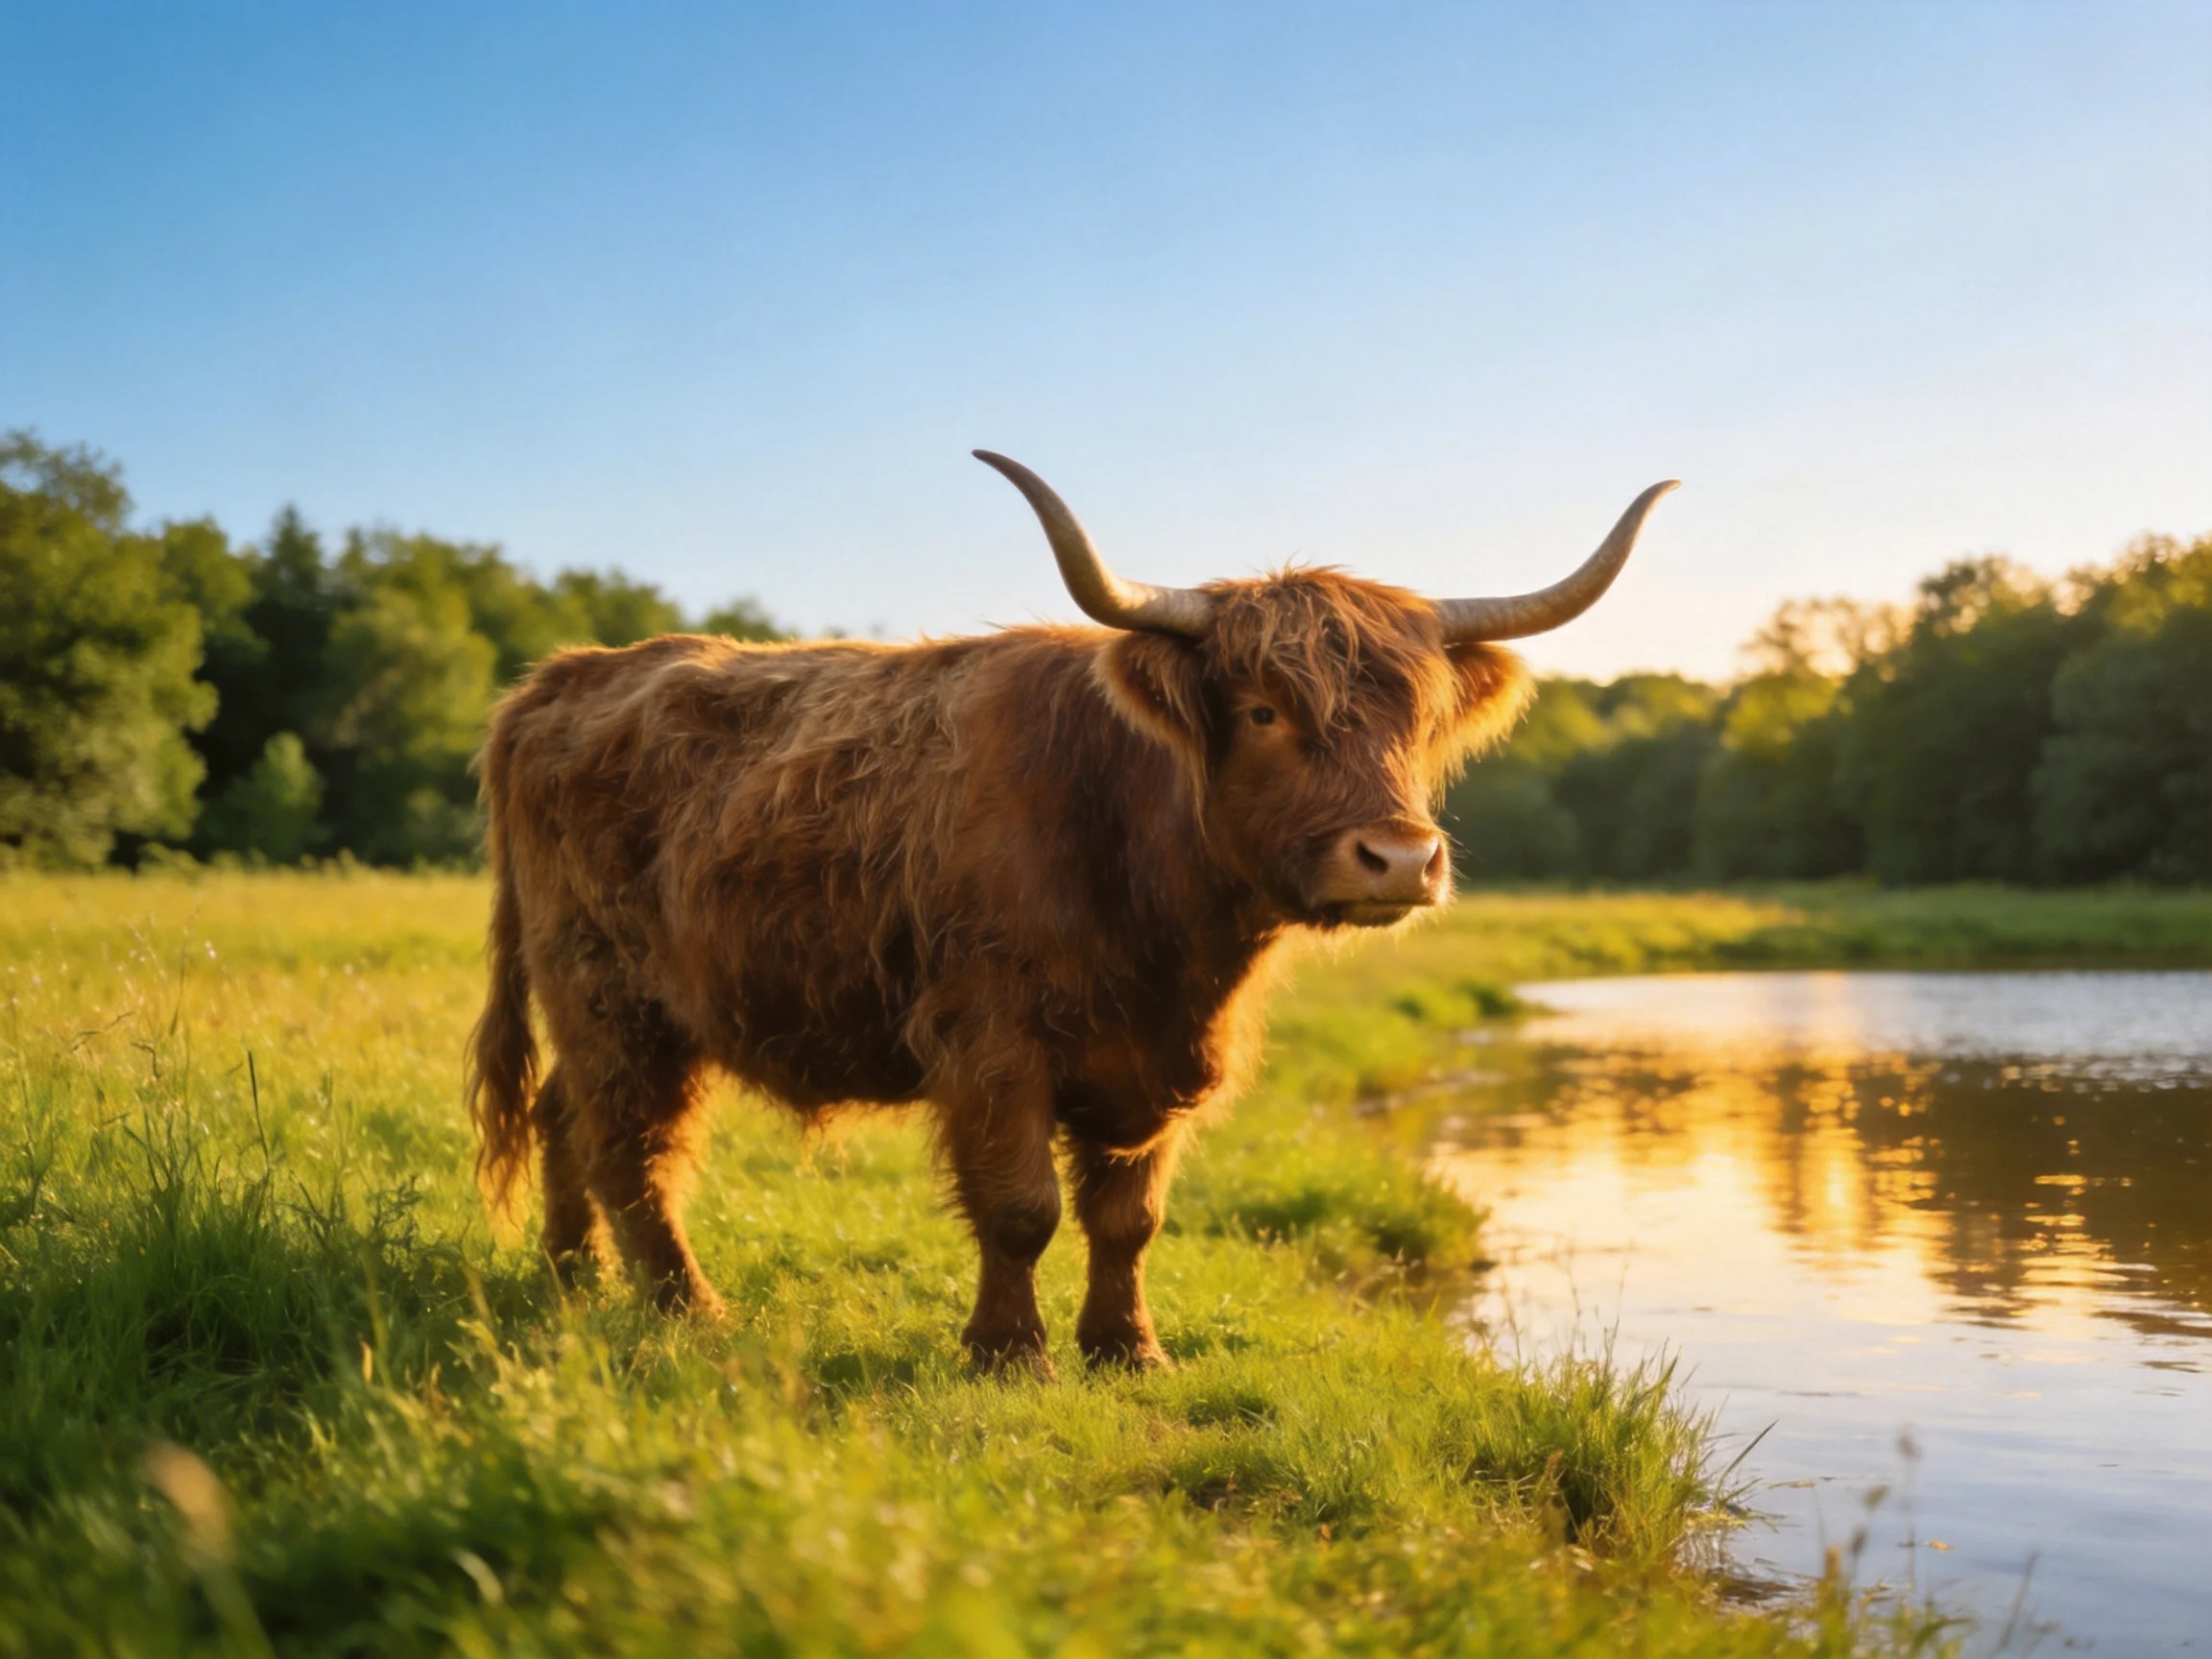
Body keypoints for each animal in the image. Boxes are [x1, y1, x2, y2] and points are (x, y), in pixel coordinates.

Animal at [467, 453, 1674, 1373]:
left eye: (1419, 723)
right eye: (1263, 710)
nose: (1399, 858)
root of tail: (561, 679)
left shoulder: (1159, 1059)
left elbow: (1127, 1216)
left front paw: (1127, 1349)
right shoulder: (990, 1043)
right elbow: (1022, 1206)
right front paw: (1010, 1355)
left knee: (568, 1117)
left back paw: (572, 1280)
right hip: (610, 990)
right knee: (629, 1142)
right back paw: (686, 1309)